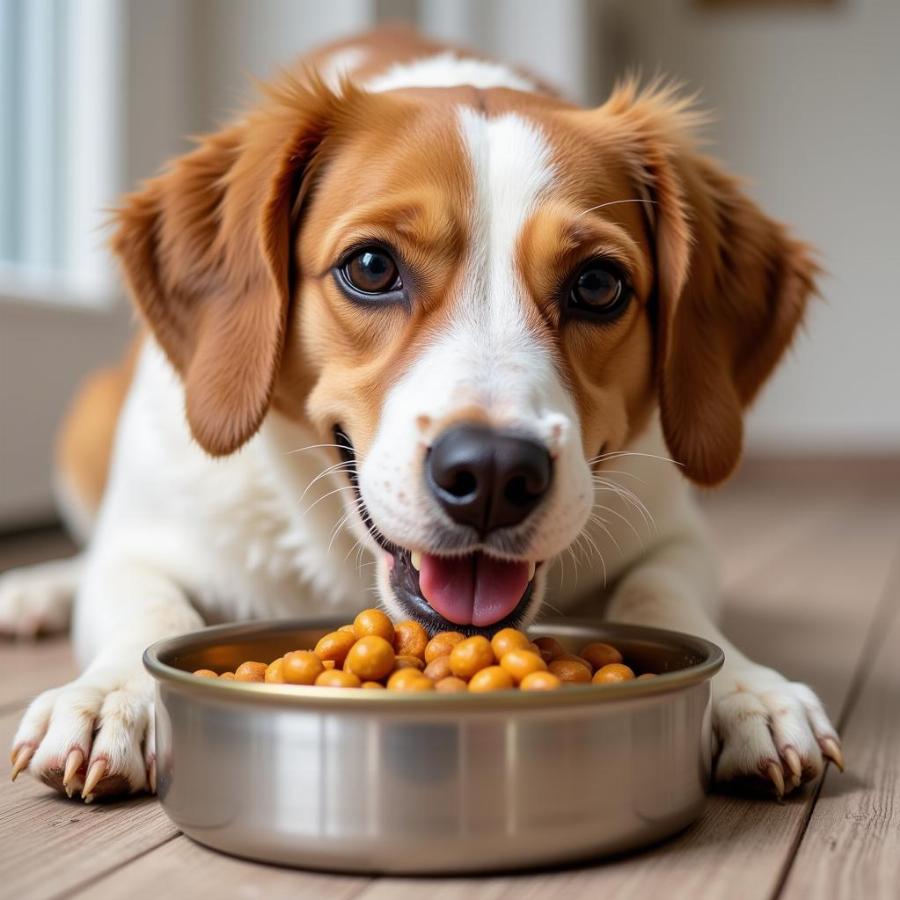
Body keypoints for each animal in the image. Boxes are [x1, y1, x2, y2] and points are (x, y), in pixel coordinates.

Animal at [3, 26, 840, 800]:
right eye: (371, 267)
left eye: (599, 285)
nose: (496, 473)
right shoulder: (144, 541)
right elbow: (149, 606)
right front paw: (113, 693)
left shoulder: (674, 535)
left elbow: (663, 595)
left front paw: (744, 687)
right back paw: (36, 590)